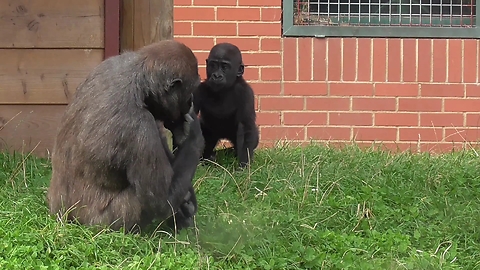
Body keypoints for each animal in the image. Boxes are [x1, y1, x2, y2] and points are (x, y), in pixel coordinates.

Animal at [48, 39, 204, 233]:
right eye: (190, 91)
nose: (190, 102)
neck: (139, 81)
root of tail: (61, 216)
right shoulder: (140, 126)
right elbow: (161, 201)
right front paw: (194, 136)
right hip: (99, 224)